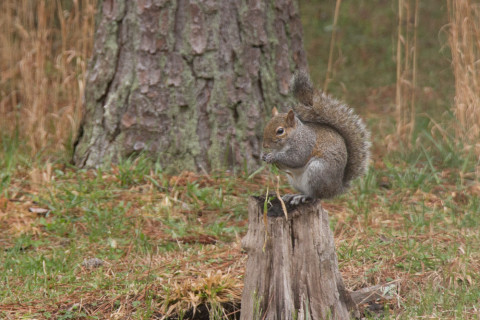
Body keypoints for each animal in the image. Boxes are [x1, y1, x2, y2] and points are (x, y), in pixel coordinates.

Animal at [262, 71, 372, 204]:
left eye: (280, 131)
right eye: (267, 124)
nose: (265, 145)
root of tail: (336, 189)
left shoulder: (304, 144)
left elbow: (296, 159)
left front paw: (273, 156)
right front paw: (264, 156)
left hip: (317, 172)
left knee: (315, 195)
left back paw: (303, 197)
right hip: (294, 180)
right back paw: (293, 195)